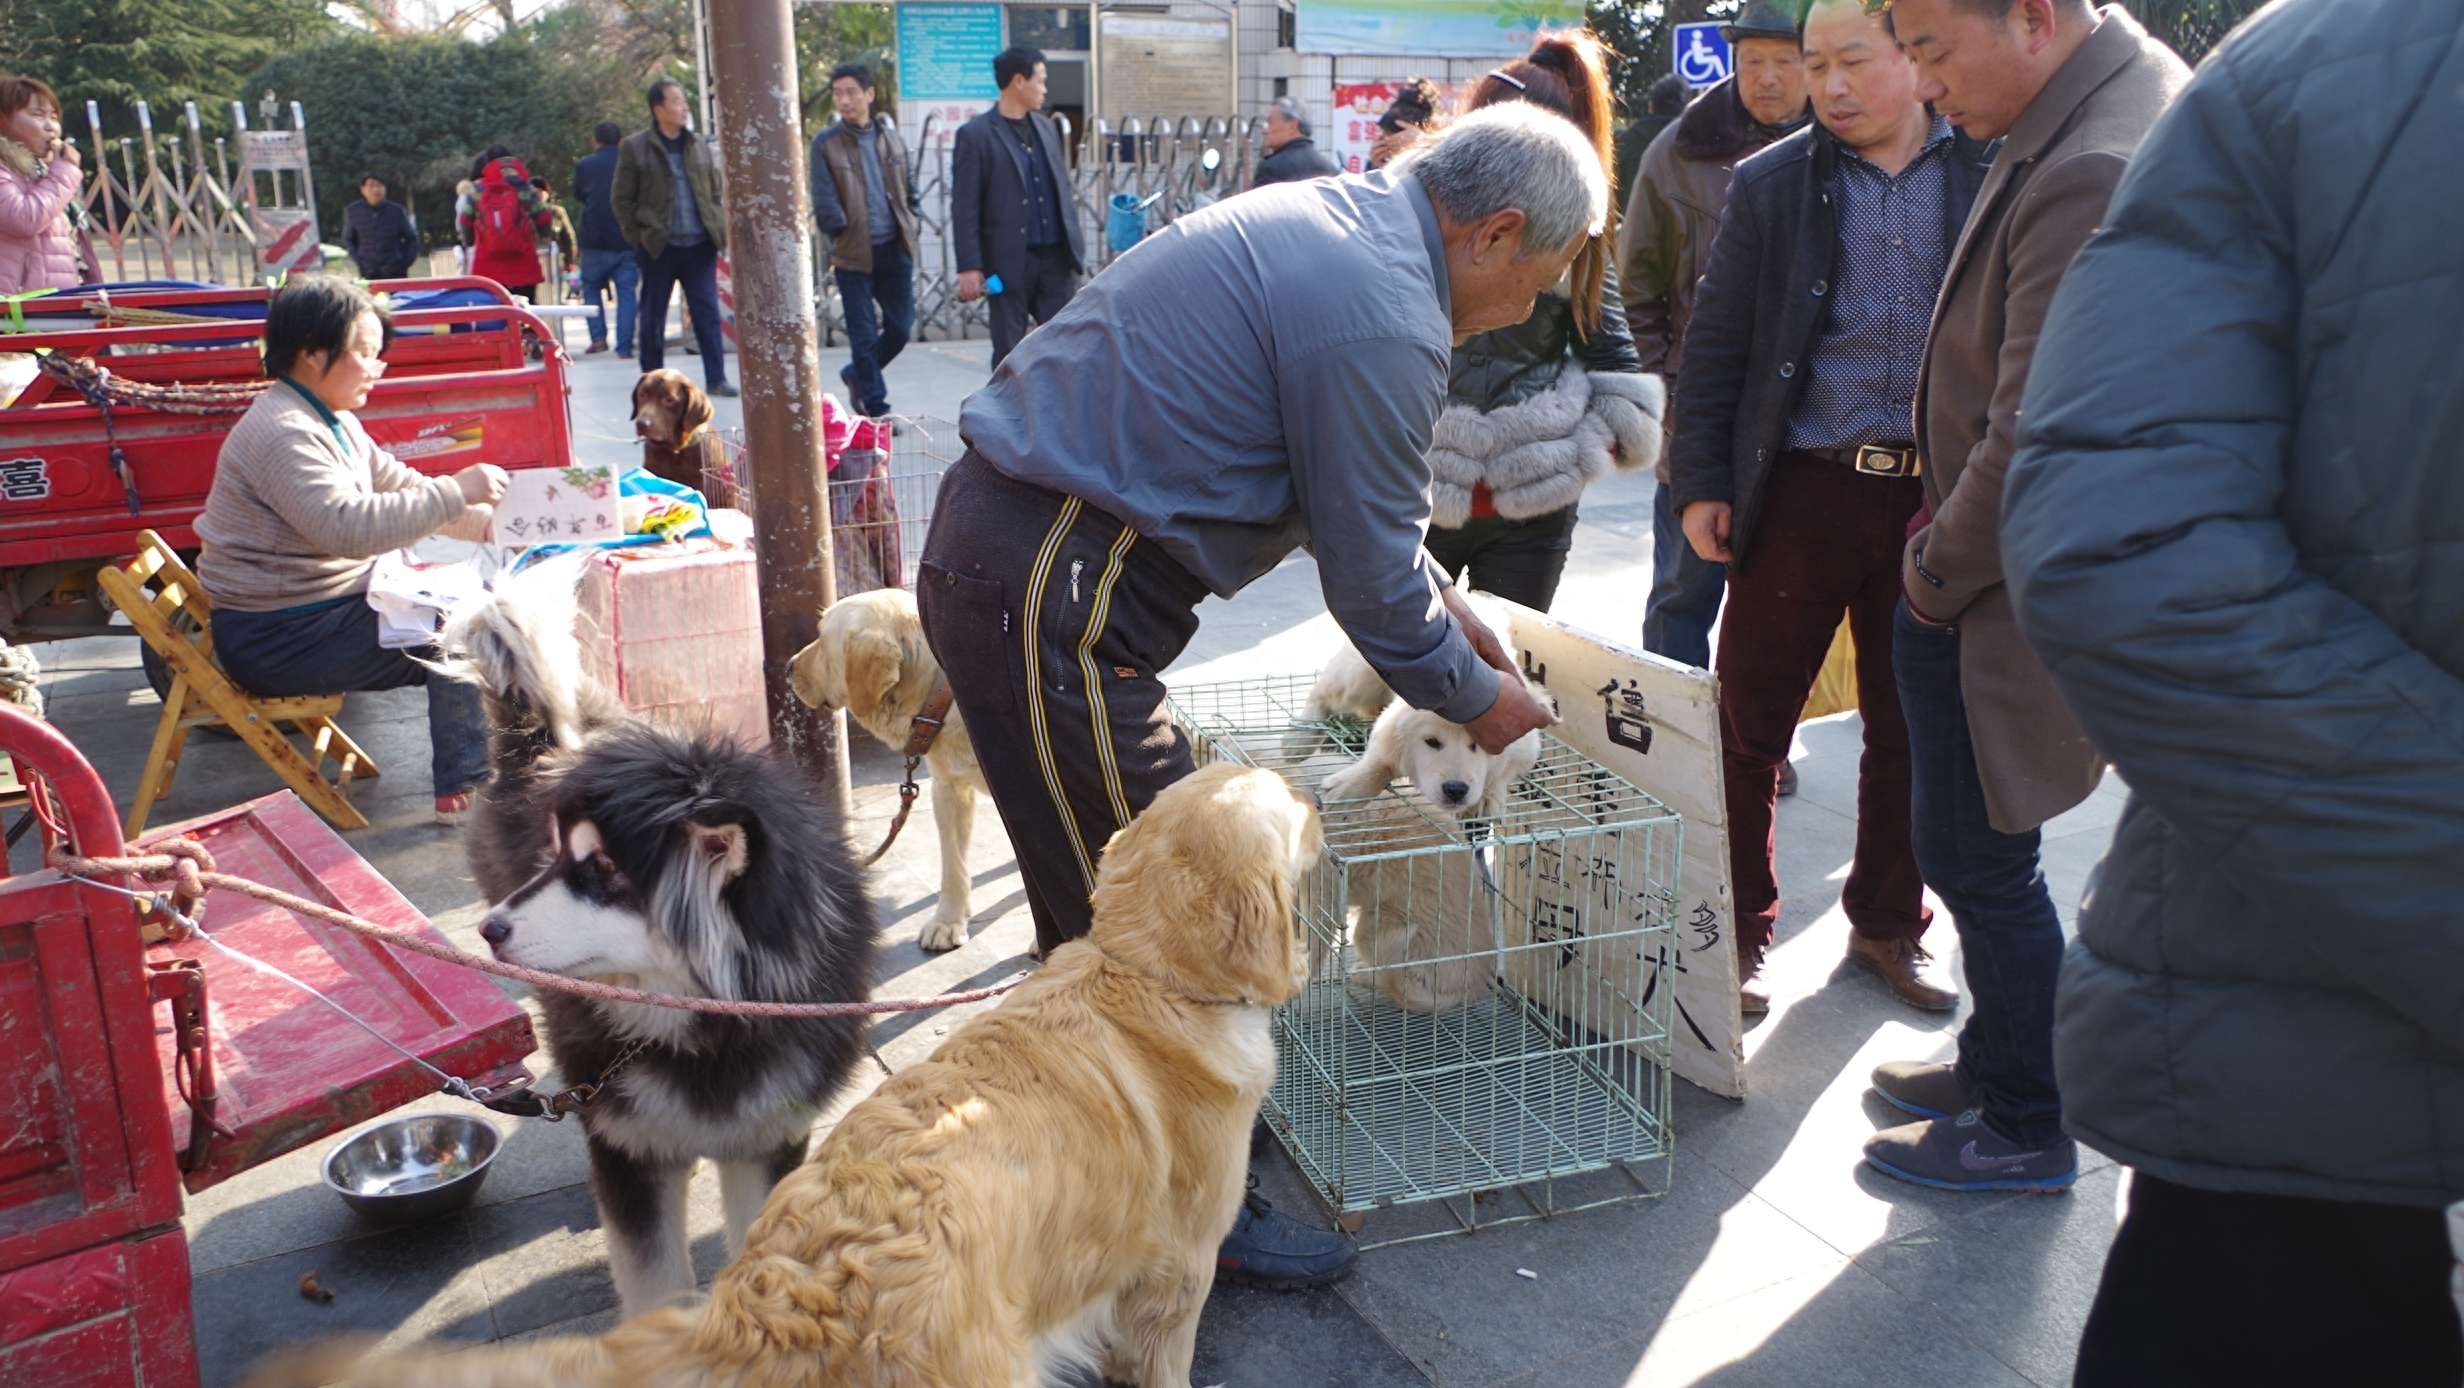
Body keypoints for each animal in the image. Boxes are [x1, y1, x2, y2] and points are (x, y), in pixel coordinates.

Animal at [438, 562, 882, 1311]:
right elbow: (655, 1284)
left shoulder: (770, 1136)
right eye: (555, 858)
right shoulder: (631, 1150)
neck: (705, 1027)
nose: (488, 930)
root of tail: (545, 737)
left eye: (603, 870)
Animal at [783, 586, 985, 956]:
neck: (938, 695)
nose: (788, 668)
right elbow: (952, 866)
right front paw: (948, 921)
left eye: (822, 638)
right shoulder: (947, 789)